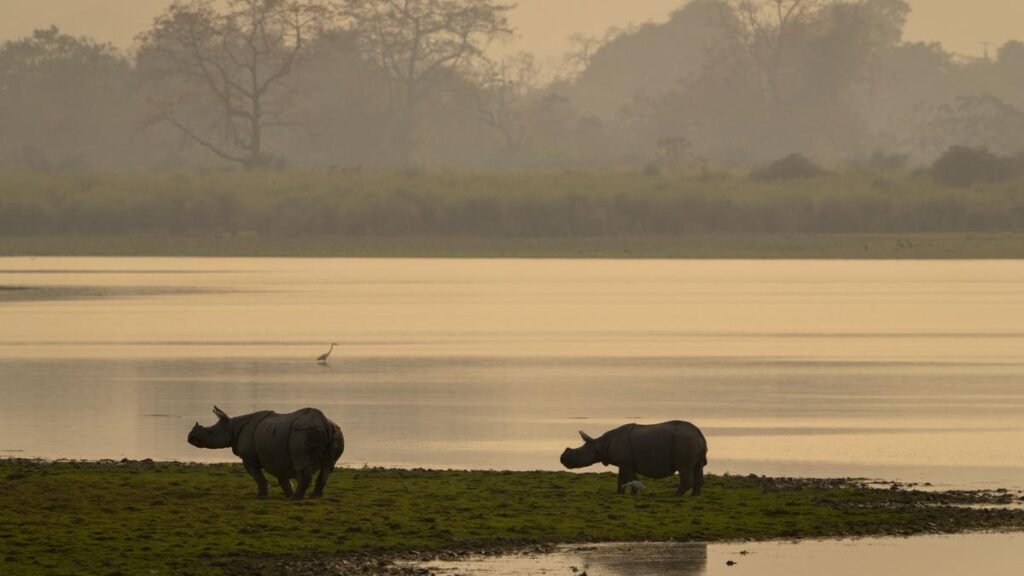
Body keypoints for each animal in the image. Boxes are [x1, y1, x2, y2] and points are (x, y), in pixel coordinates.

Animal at [188, 406, 344, 500]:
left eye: (210, 432)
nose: (190, 437)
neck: (232, 427)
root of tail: (325, 423)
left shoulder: (249, 458)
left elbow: (259, 478)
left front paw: (261, 497)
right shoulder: (278, 456)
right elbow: (283, 478)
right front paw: (288, 494)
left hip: (302, 434)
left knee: (302, 465)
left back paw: (296, 499)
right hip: (336, 431)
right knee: (327, 467)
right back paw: (314, 497)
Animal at [560, 420, 707, 496]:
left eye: (577, 453)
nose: (562, 459)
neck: (600, 444)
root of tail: (699, 433)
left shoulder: (626, 462)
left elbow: (631, 478)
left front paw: (633, 493)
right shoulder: (623, 462)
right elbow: (622, 478)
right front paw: (620, 493)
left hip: (684, 441)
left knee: (685, 469)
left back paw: (675, 496)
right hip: (690, 440)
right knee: (698, 467)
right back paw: (695, 495)